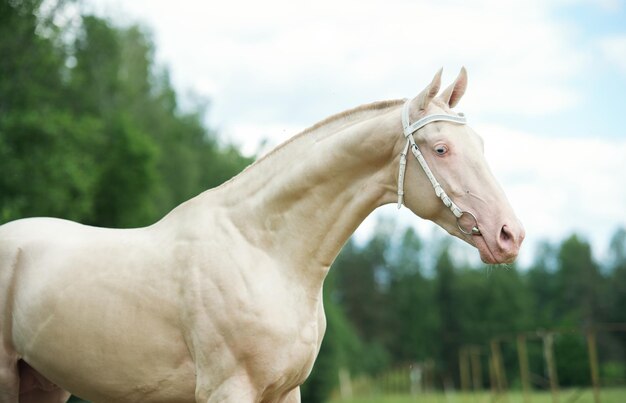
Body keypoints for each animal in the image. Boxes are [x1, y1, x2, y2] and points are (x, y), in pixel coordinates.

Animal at [0, 68, 520, 402]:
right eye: (441, 148)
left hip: (45, 383)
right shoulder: (228, 390)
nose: (510, 235)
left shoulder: (285, 391)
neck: (263, 254)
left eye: (480, 144)